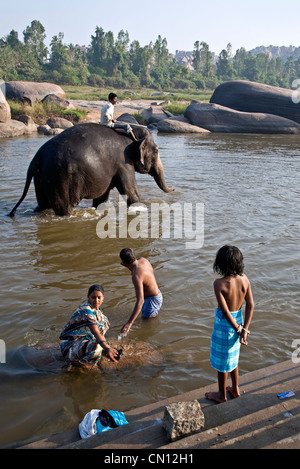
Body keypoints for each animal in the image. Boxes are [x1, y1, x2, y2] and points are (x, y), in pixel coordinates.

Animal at [8, 120, 175, 216]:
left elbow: (101, 198)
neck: (133, 132)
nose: (173, 188)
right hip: (58, 177)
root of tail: (37, 157)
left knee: (42, 205)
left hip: (42, 177)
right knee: (63, 208)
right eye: (156, 151)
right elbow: (131, 194)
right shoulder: (124, 163)